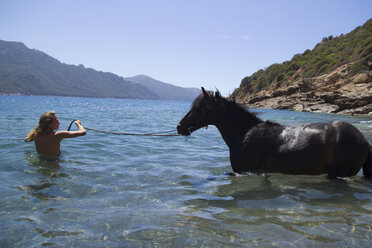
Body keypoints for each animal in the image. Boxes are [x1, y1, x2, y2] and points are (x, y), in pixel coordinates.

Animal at [177, 88, 372, 177]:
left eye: (199, 108)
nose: (179, 127)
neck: (245, 133)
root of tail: (364, 141)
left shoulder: (244, 171)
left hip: (338, 174)